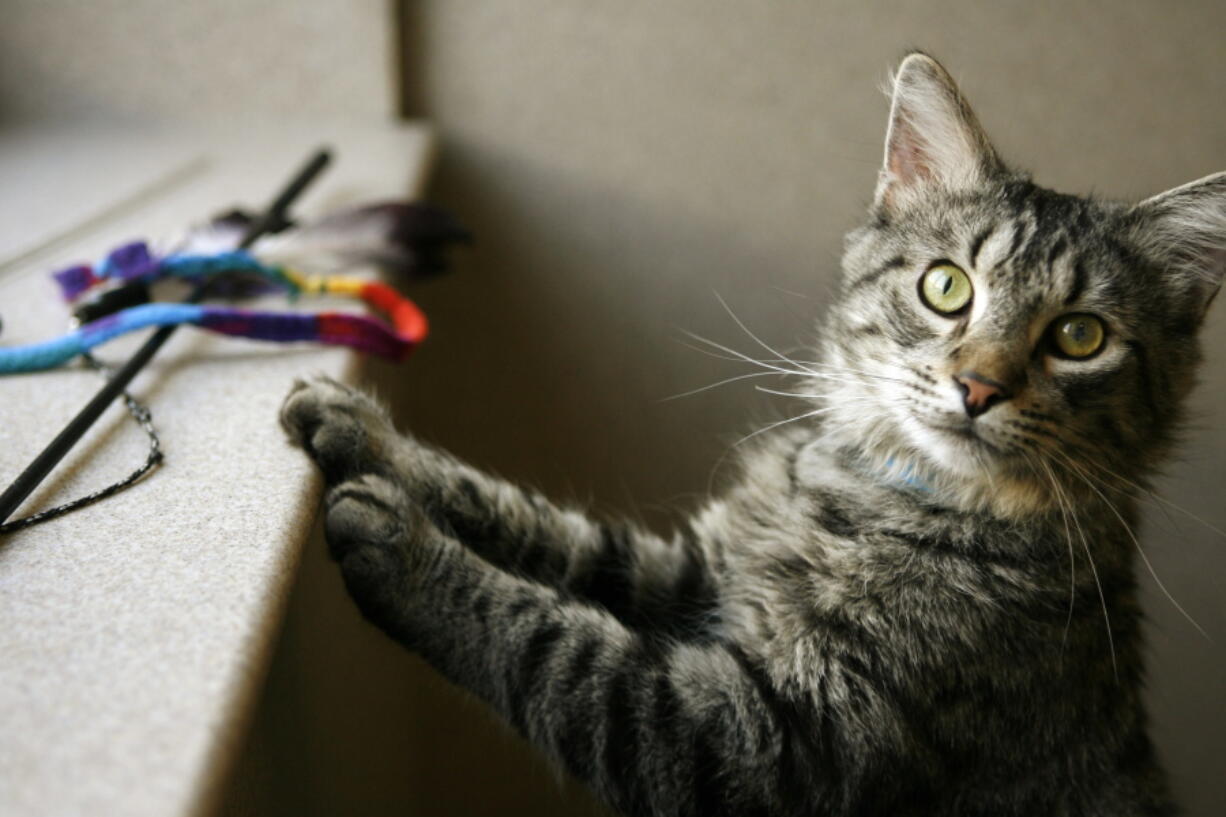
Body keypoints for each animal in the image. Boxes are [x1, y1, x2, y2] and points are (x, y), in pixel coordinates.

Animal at [280, 53, 1226, 809]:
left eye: (1080, 337)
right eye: (947, 286)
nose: (978, 386)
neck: (868, 490)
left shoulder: (771, 741)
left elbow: (555, 645)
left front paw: (400, 545)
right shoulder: (691, 574)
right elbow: (538, 524)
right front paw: (363, 432)